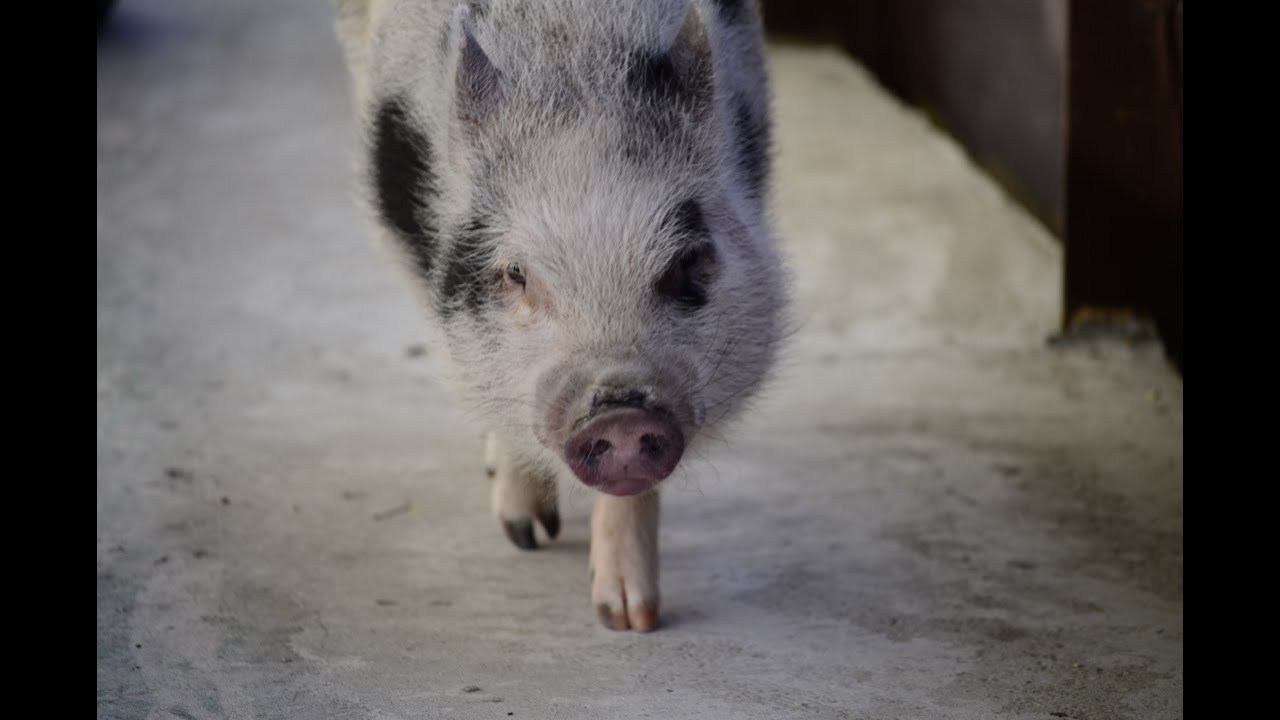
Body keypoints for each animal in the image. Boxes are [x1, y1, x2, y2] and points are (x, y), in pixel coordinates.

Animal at [333, 0, 787, 632]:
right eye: (516, 273)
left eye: (684, 262)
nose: (619, 414)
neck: (572, 48)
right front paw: (528, 540)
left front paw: (628, 621)